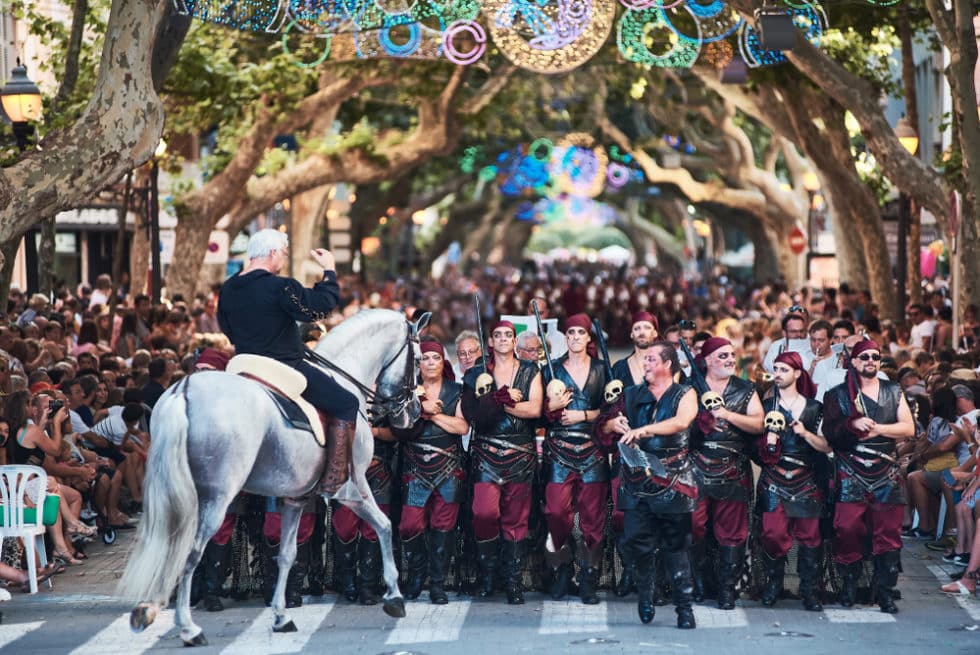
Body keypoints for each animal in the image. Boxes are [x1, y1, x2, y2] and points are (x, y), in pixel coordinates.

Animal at [118, 308, 424, 644]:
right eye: (418, 360)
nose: (413, 412)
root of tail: (183, 391)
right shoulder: (351, 488)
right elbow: (383, 525)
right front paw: (394, 597)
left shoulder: (295, 498)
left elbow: (287, 554)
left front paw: (280, 616)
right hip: (213, 499)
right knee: (189, 551)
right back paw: (188, 627)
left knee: (165, 542)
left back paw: (148, 610)